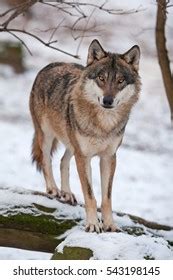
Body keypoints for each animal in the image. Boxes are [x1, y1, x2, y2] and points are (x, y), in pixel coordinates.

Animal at [29, 38, 141, 232]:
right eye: (101, 78)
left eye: (120, 81)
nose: (108, 101)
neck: (104, 124)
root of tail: (50, 65)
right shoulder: (84, 156)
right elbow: (90, 195)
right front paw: (93, 224)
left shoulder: (108, 157)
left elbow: (106, 198)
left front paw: (109, 225)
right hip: (47, 136)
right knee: (46, 160)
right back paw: (53, 189)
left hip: (72, 144)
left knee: (63, 161)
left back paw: (66, 193)